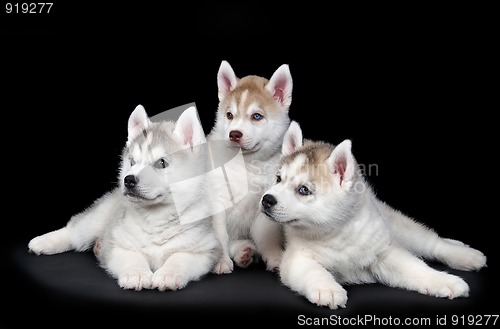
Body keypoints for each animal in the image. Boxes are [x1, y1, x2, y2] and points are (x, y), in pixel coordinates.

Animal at [28, 105, 221, 290]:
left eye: (161, 163)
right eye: (133, 162)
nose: (128, 180)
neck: (156, 218)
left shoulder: (203, 250)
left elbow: (179, 258)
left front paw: (168, 274)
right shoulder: (117, 243)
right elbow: (132, 257)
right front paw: (137, 274)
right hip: (97, 219)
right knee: (74, 230)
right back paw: (43, 242)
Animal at [208, 60, 292, 272]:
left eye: (256, 116)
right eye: (229, 115)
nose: (234, 134)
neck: (246, 166)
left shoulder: (263, 206)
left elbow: (266, 236)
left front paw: (275, 257)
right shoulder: (217, 202)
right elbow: (219, 235)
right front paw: (221, 261)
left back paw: (245, 252)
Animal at [260, 120, 486, 308]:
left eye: (303, 190)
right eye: (278, 179)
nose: (267, 200)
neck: (336, 233)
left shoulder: (385, 252)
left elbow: (417, 268)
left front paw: (444, 280)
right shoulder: (297, 258)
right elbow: (312, 271)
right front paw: (327, 288)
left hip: (397, 228)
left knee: (431, 242)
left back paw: (466, 255)